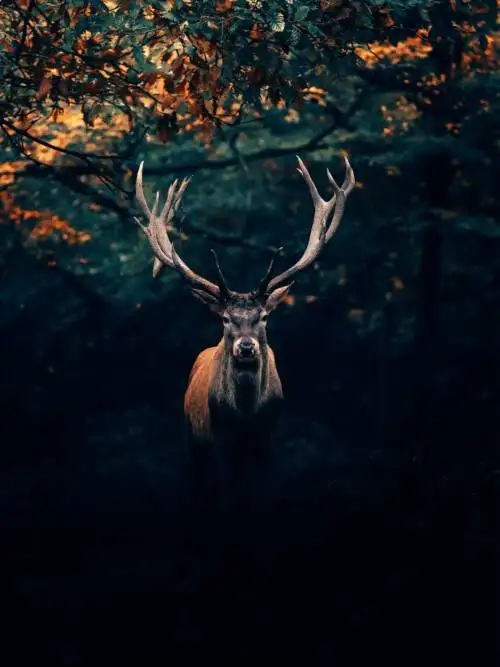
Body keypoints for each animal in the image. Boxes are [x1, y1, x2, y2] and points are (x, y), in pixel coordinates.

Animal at [134, 155, 355, 501]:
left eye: (263, 317)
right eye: (225, 318)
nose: (246, 347)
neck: (246, 418)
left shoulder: (267, 441)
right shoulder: (220, 442)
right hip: (192, 440)